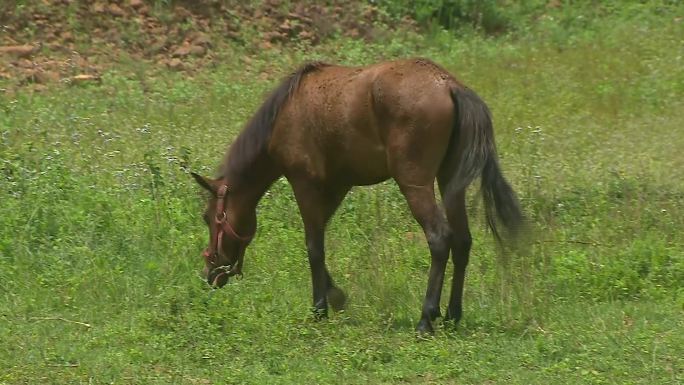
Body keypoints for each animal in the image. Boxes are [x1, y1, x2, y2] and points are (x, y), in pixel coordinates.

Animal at [192, 57, 524, 332]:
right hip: (450, 183)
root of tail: (449, 85)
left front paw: (319, 309)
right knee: (463, 241)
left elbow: (313, 247)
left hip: (415, 185)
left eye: (208, 217)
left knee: (440, 238)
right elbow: (319, 242)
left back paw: (426, 318)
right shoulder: (337, 187)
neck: (285, 113)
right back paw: (453, 315)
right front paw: (336, 296)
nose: (210, 272)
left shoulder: (305, 184)